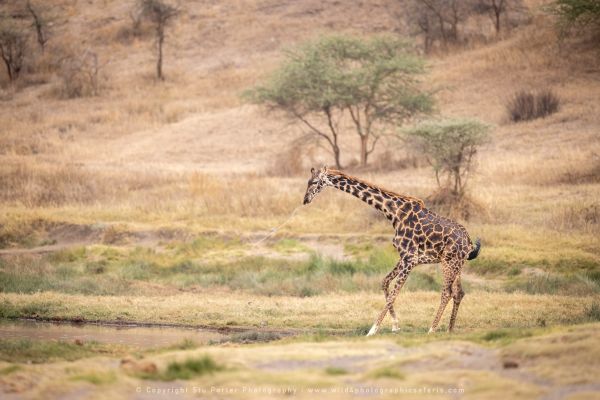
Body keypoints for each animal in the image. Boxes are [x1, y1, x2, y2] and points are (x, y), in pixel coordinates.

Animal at [302, 164, 480, 336]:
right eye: (308, 181)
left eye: (315, 182)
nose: (305, 200)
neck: (394, 212)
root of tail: (469, 242)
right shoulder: (403, 257)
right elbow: (385, 282)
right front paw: (395, 325)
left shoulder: (410, 259)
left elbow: (394, 293)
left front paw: (372, 330)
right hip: (457, 264)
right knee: (458, 292)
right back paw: (450, 329)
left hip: (449, 262)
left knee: (447, 292)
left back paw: (432, 329)